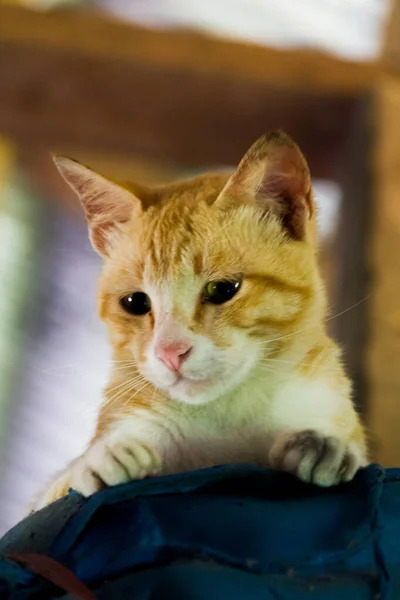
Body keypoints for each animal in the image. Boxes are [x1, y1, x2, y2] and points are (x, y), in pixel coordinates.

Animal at [31, 131, 368, 510]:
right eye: (135, 302)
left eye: (222, 289)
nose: (170, 352)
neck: (226, 412)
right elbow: (59, 489)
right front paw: (102, 459)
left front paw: (324, 445)